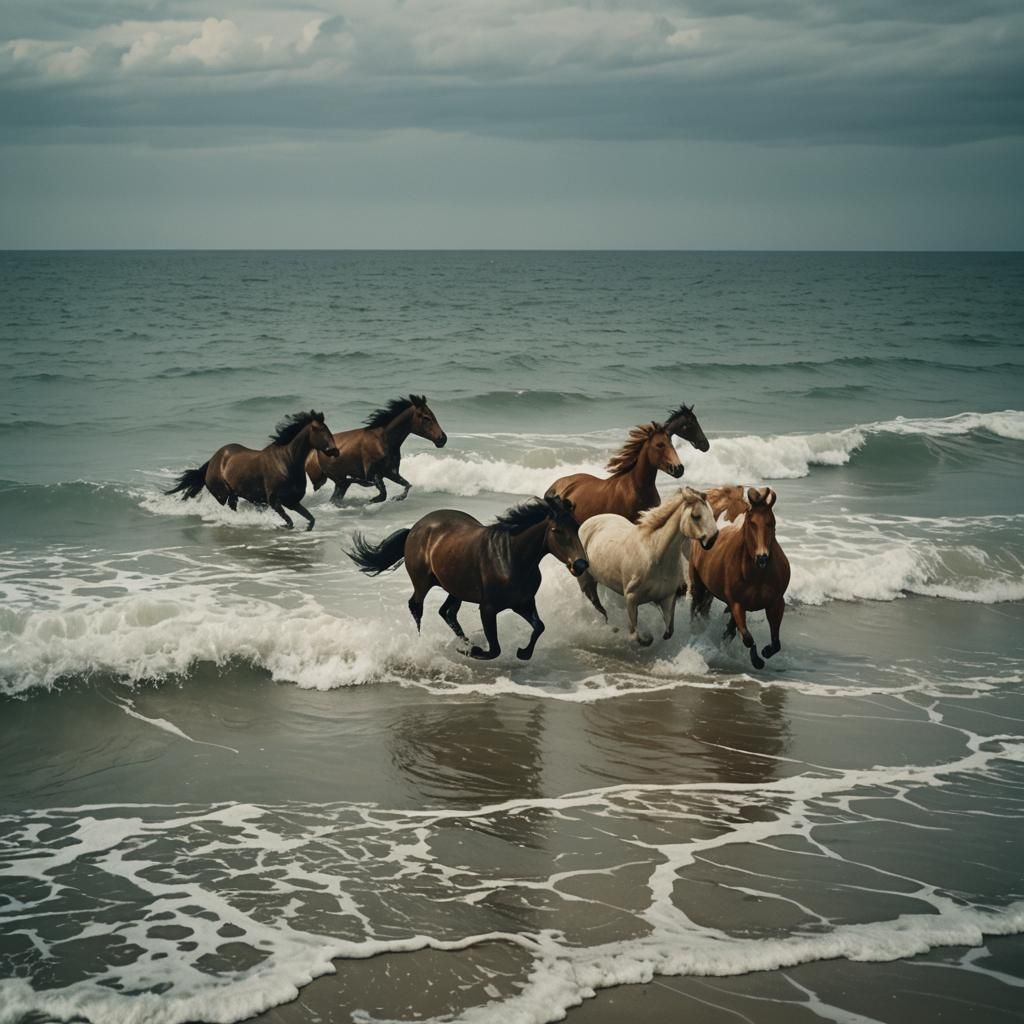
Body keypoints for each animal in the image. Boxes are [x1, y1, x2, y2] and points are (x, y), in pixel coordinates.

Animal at [165, 410, 338, 531]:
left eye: (327, 429)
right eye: (320, 429)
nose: (335, 451)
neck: (286, 462)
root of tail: (214, 459)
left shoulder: (292, 501)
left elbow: (311, 520)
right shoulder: (274, 501)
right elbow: (289, 521)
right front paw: (279, 526)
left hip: (234, 494)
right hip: (222, 493)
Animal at [306, 395, 447, 504]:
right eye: (426, 417)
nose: (442, 439)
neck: (384, 440)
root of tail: (313, 453)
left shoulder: (391, 473)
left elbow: (407, 485)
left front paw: (397, 498)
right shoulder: (373, 474)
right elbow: (383, 493)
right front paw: (372, 499)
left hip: (340, 484)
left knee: (336, 497)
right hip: (338, 479)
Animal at [346, 495, 588, 661]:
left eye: (577, 527)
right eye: (557, 531)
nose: (581, 564)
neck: (511, 558)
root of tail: (415, 528)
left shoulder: (523, 603)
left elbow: (540, 627)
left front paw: (523, 652)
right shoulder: (488, 608)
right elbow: (494, 649)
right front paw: (474, 651)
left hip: (455, 587)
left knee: (447, 612)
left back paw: (463, 641)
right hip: (423, 583)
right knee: (416, 606)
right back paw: (422, 644)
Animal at [579, 487, 719, 645]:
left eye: (712, 513)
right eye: (696, 516)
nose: (713, 539)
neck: (654, 555)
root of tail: (589, 521)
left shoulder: (667, 598)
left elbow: (668, 632)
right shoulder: (631, 599)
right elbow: (637, 635)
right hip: (585, 579)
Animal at [689, 487, 791, 670]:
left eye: (771, 522)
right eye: (751, 523)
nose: (762, 557)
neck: (758, 575)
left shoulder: (776, 602)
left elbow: (776, 642)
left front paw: (765, 651)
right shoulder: (737, 604)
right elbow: (747, 638)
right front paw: (757, 660)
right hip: (699, 586)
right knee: (695, 609)